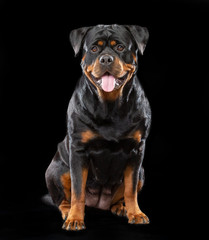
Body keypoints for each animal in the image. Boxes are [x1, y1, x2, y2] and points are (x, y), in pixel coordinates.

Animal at [45, 23, 151, 231]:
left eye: (120, 47)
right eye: (94, 49)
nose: (106, 58)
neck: (110, 105)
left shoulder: (137, 150)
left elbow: (131, 189)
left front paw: (136, 213)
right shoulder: (78, 150)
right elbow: (78, 191)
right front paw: (75, 219)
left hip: (142, 171)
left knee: (121, 194)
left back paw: (120, 208)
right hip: (56, 170)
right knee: (63, 198)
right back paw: (67, 211)